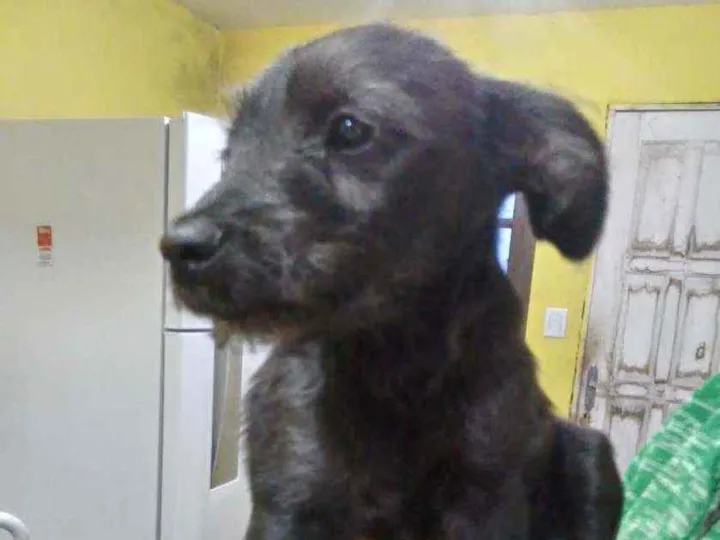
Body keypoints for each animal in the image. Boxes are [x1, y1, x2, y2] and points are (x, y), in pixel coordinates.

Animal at [160, 23, 623, 540]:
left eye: (350, 128)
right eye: (229, 150)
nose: (179, 248)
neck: (391, 366)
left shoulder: (486, 498)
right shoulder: (286, 500)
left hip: (590, 454)